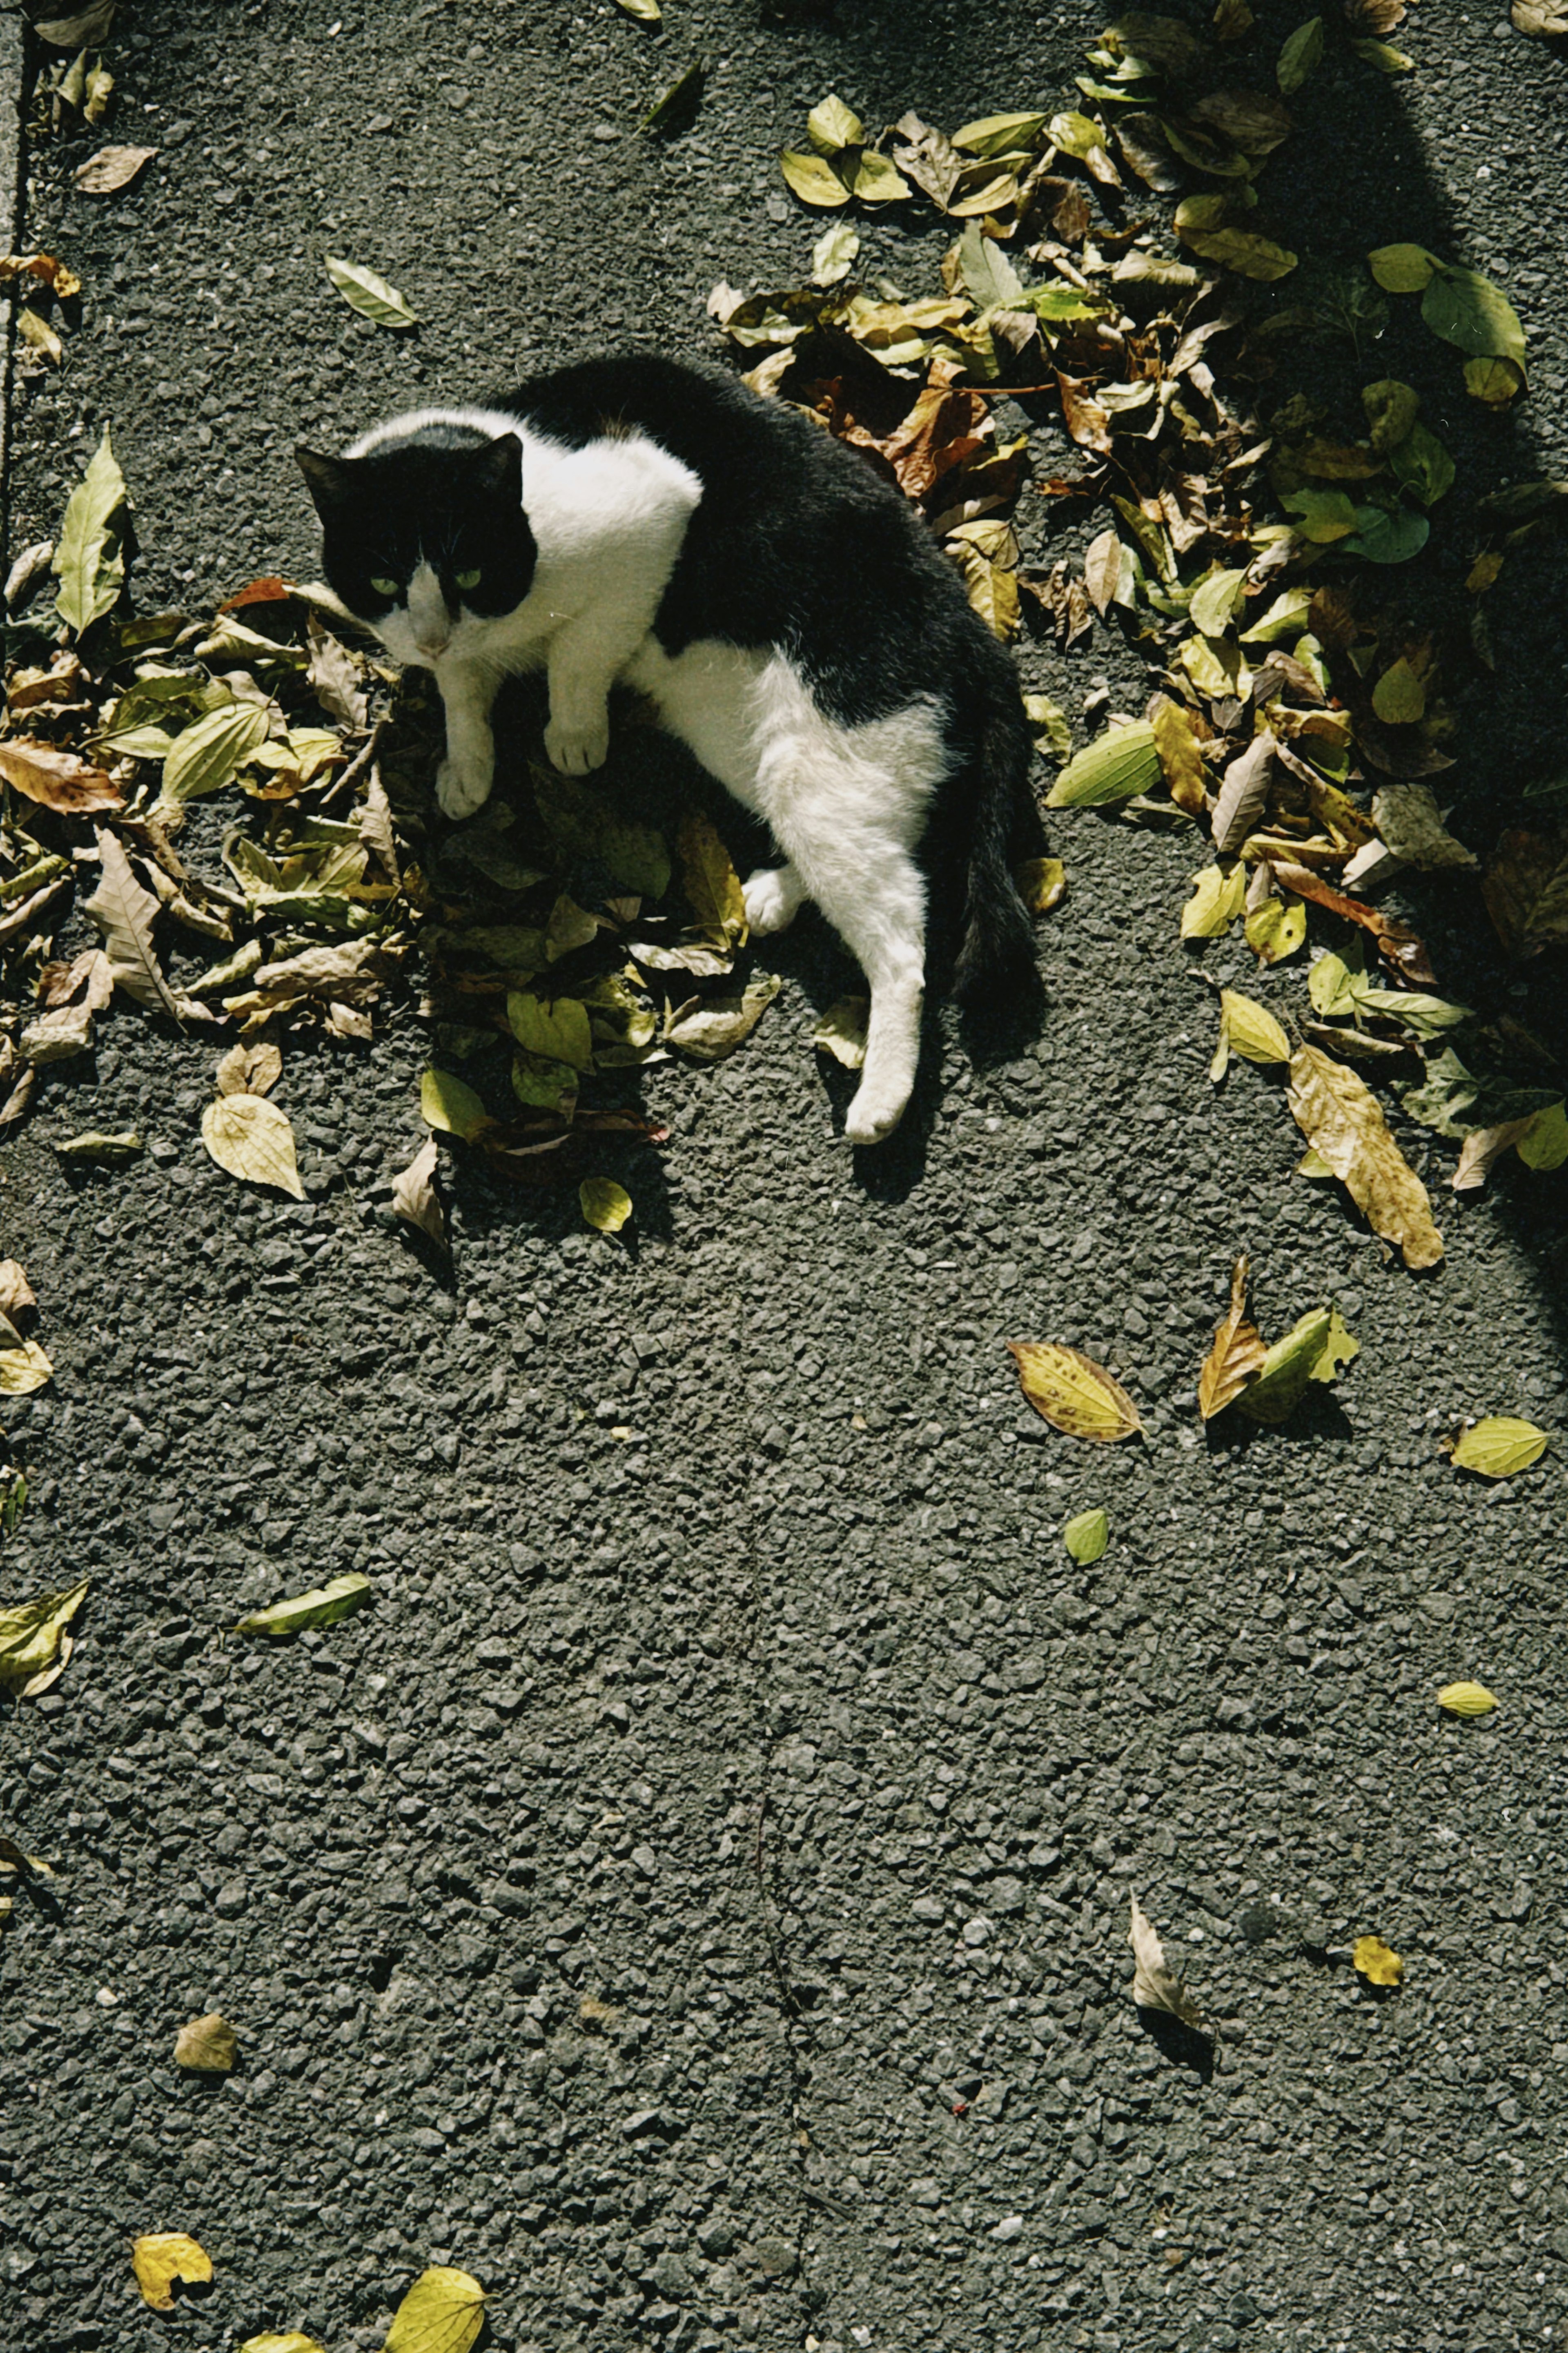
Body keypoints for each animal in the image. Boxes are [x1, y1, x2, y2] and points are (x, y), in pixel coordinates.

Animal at [298, 350, 1031, 1148]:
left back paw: (882, 1100)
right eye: (382, 580)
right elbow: (462, 690)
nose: (430, 635)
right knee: (892, 842)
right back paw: (777, 892)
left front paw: (573, 732)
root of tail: (975, 634)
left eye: (468, 571)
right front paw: (468, 766)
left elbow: (580, 651)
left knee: (902, 940)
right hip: (752, 740)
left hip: (821, 744)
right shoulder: (462, 650)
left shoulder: (654, 508)